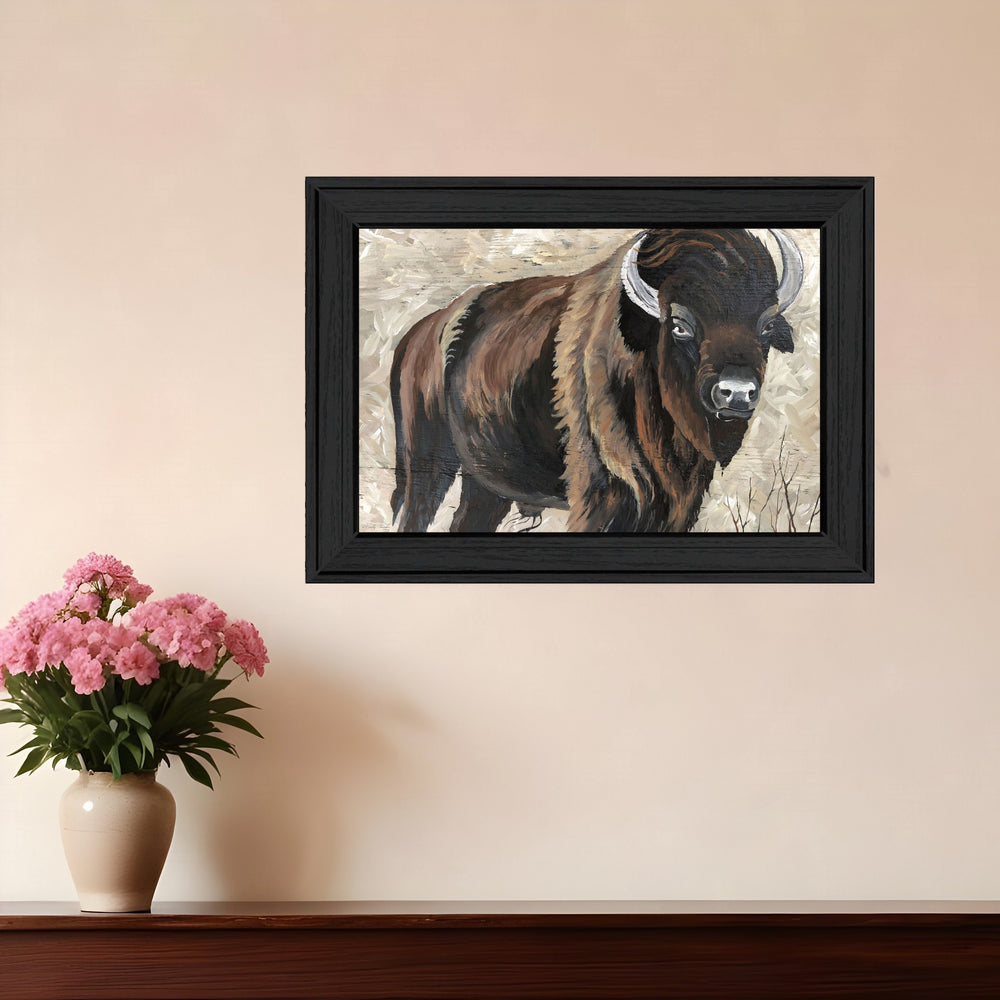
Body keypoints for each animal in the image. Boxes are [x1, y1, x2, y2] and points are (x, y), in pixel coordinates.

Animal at [389, 228, 804, 533]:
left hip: (486, 484)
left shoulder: (679, 502)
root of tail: (420, 334)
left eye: (766, 326)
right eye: (680, 325)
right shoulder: (602, 497)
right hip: (425, 465)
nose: (737, 393)